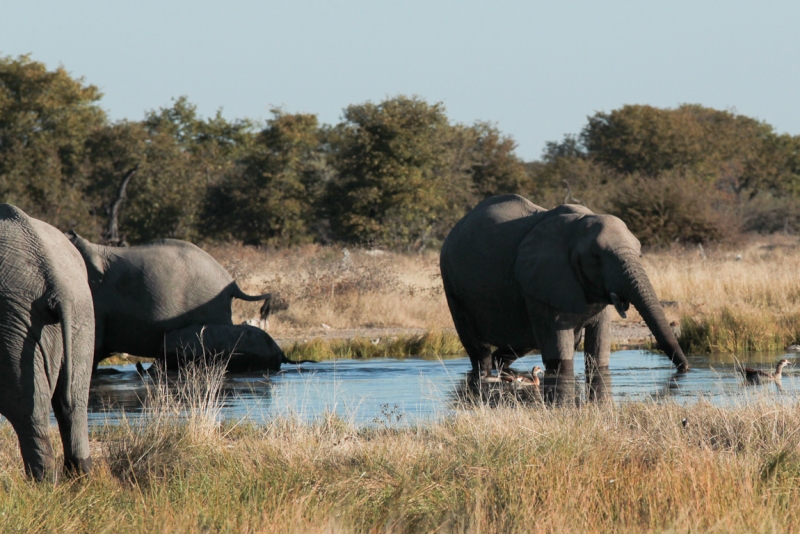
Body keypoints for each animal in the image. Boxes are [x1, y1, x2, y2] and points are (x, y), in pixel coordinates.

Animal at [0, 205, 95, 482]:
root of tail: (57, 286)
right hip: (82, 316)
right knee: (75, 402)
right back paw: (81, 479)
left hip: (12, 320)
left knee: (27, 410)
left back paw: (42, 484)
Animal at [438, 195, 688, 378]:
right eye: (596, 257)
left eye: (640, 254)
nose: (685, 369)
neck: (578, 224)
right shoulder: (545, 278)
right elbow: (560, 352)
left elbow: (598, 353)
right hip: (451, 277)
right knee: (478, 349)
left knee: (519, 343)